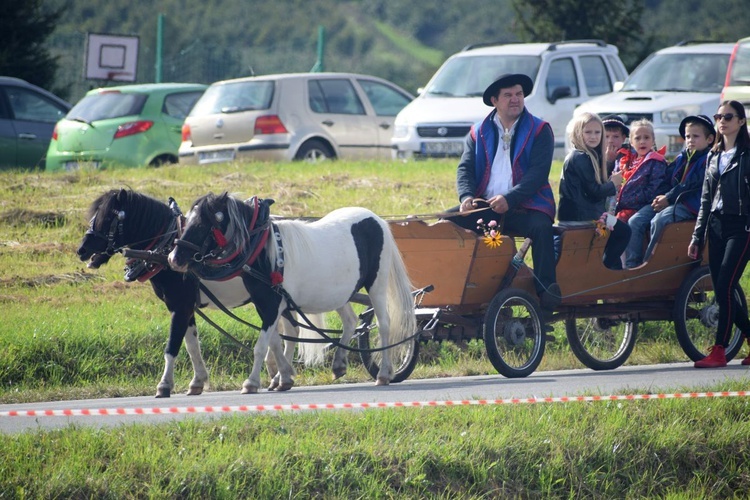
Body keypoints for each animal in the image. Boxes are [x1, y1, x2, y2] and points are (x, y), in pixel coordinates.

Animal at [78, 191, 332, 398]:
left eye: (108, 218)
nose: (81, 249)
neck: (166, 247)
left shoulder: (179, 305)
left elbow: (172, 346)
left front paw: (164, 385)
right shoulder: (186, 307)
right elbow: (192, 345)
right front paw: (197, 381)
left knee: (289, 332)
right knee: (289, 332)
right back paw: (281, 375)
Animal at [169, 193, 418, 392]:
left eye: (202, 224)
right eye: (186, 221)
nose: (174, 258)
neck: (263, 251)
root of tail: (377, 219)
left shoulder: (272, 305)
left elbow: (262, 346)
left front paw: (252, 382)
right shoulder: (267, 305)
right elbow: (276, 341)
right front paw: (283, 377)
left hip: (377, 284)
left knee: (384, 325)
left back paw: (384, 373)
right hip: (340, 293)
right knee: (350, 320)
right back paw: (339, 363)